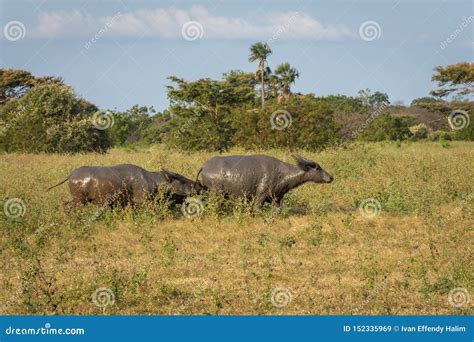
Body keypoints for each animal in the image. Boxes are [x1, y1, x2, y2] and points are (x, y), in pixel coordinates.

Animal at [47, 163, 203, 206]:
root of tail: (71, 175)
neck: (154, 181)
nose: (200, 185)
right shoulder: (141, 201)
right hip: (80, 200)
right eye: (181, 180)